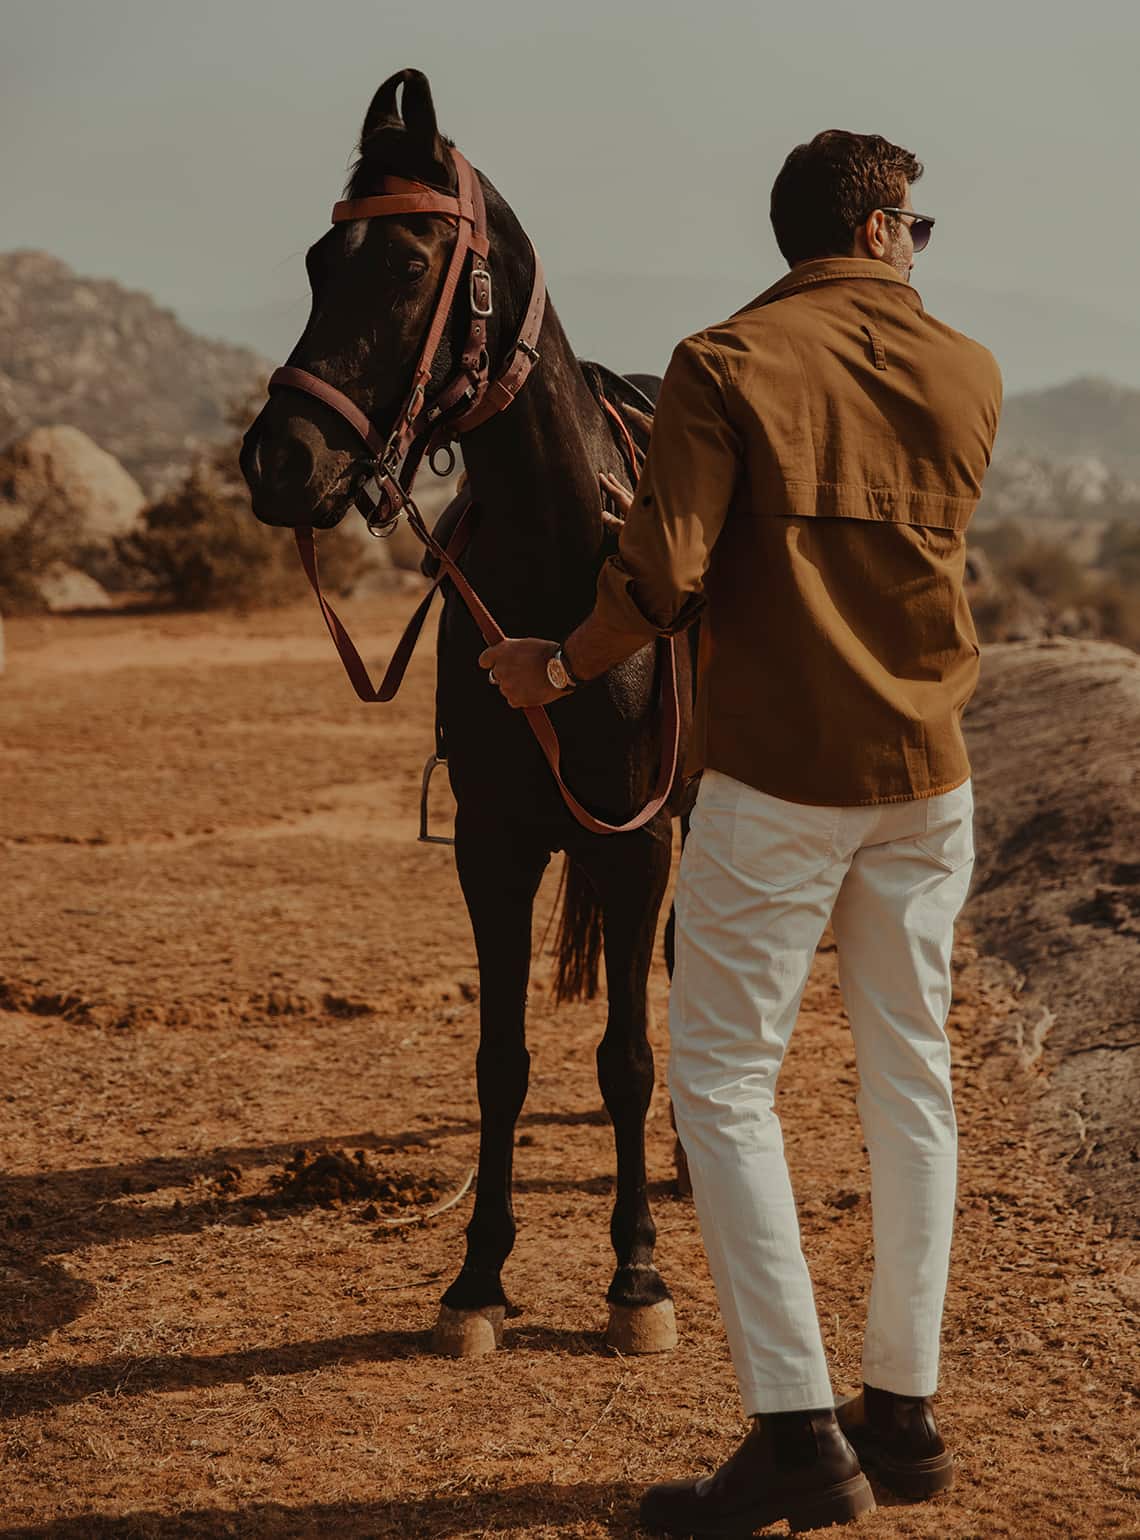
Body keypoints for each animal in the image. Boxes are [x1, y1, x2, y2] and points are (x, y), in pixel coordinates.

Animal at [240, 69, 690, 1361]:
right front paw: (479, 1274)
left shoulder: (636, 842)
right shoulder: (493, 847)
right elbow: (501, 1059)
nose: (279, 459)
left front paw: (636, 1274)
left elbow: (627, 1056)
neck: (561, 564)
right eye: (316, 261)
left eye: (406, 264)